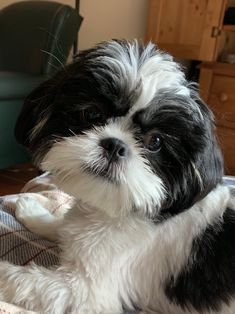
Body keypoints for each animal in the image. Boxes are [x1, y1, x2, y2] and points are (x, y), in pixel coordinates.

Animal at [0, 40, 235, 312]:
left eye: (155, 142)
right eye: (92, 114)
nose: (114, 145)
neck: (116, 210)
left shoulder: (84, 292)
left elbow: (23, 279)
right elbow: (62, 226)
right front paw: (33, 212)